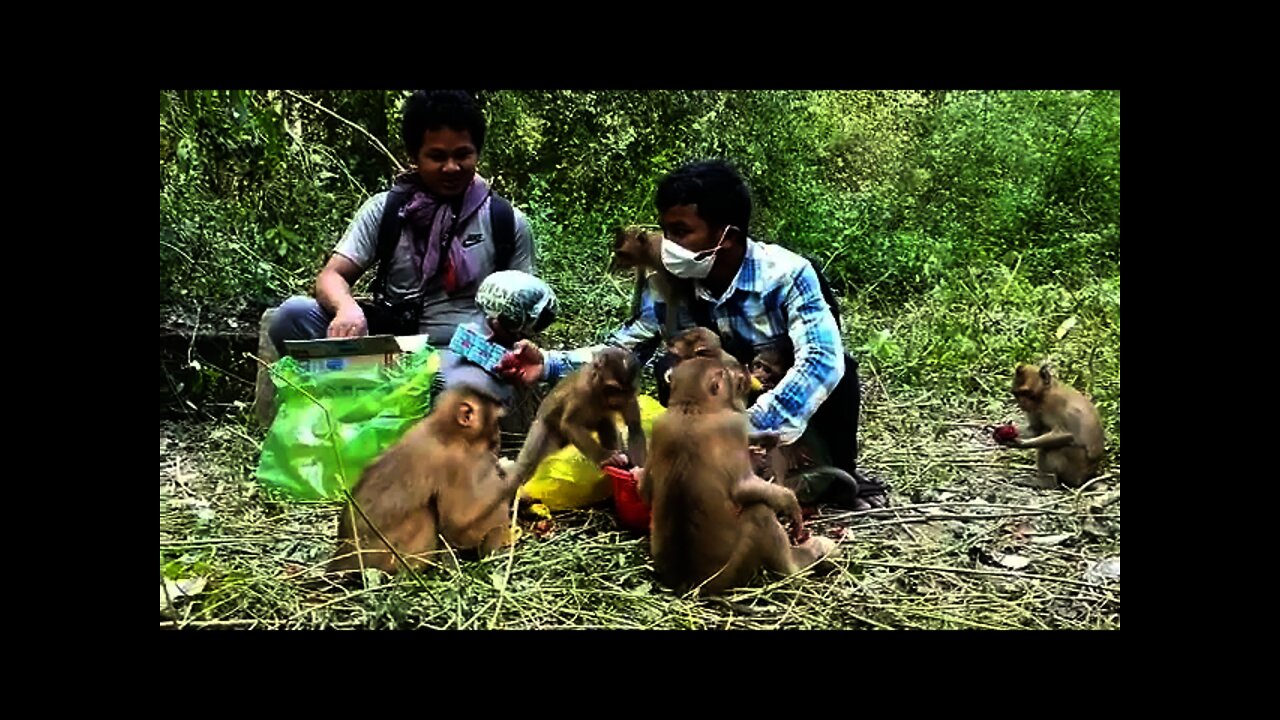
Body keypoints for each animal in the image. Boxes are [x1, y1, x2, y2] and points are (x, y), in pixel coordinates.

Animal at [327, 384, 522, 573]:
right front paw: (507, 473)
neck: (444, 431)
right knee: (425, 513)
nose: (499, 435)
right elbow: (458, 525)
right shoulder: (461, 464)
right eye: (496, 421)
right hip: (386, 555)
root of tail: (339, 561)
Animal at [512, 345, 650, 479]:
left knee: (604, 422)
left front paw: (639, 471)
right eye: (614, 389)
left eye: (626, 391)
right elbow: (570, 424)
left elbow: (634, 427)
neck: (599, 392)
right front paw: (605, 457)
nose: (620, 399)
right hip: (543, 426)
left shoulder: (631, 396)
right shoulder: (582, 391)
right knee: (524, 467)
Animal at [634, 353, 834, 594]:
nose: (741, 370)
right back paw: (799, 563)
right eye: (727, 373)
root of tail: (690, 581)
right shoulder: (732, 425)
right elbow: (743, 487)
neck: (692, 407)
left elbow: (645, 489)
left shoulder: (660, 424)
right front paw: (790, 503)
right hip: (735, 568)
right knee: (760, 513)